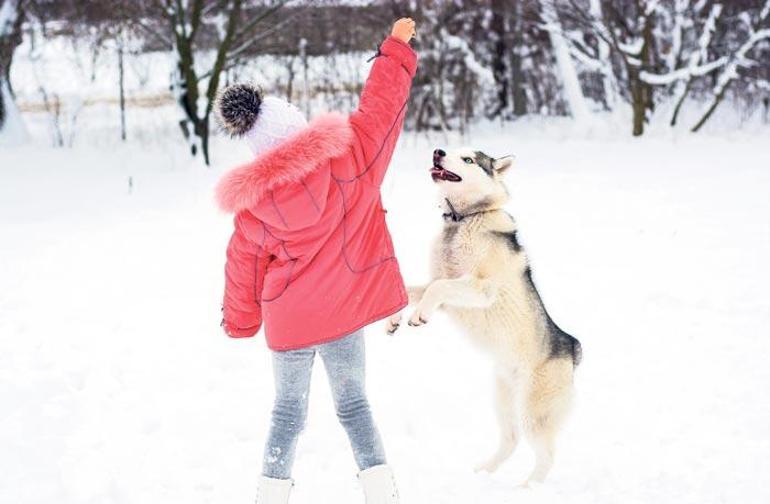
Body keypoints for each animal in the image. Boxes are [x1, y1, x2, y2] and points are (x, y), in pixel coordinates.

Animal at [388, 148, 580, 486]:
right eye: (450, 151)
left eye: (468, 160)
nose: (438, 151)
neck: (463, 218)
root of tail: (571, 346)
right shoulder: (439, 289)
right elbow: (415, 290)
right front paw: (395, 318)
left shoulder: (481, 288)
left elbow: (438, 288)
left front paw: (419, 315)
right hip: (504, 402)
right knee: (510, 441)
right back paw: (484, 472)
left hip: (534, 413)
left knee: (546, 455)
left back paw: (528, 488)